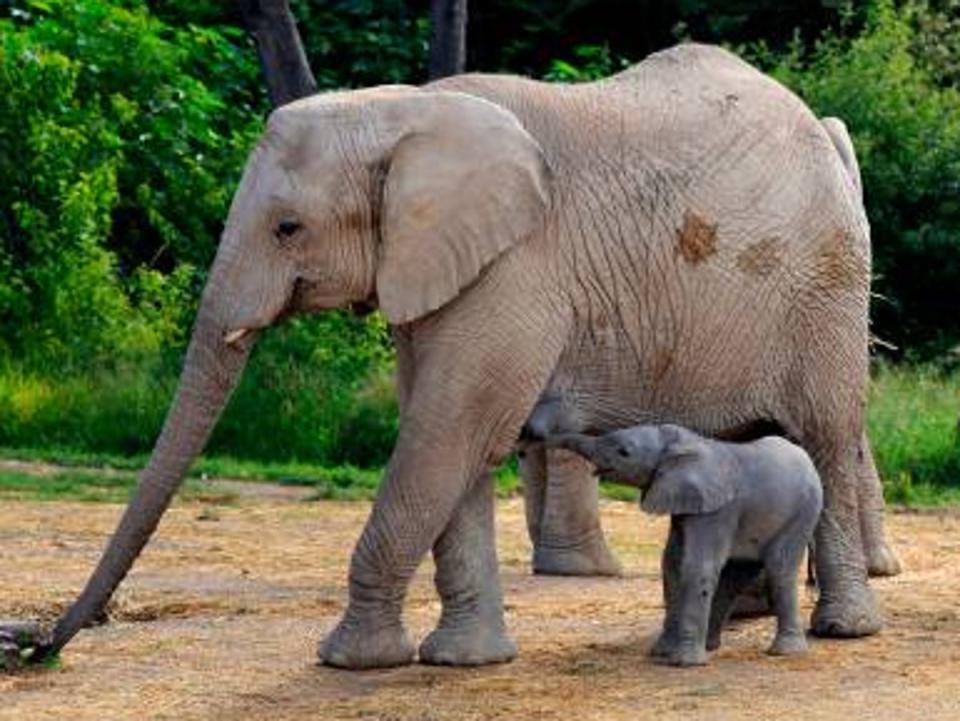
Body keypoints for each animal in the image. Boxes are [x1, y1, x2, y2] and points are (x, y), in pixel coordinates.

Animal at [552, 424, 820, 668]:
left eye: (624, 452)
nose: (545, 436)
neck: (680, 445)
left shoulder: (718, 509)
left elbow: (696, 566)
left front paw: (684, 662)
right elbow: (671, 565)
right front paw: (661, 653)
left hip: (802, 513)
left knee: (780, 569)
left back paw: (785, 652)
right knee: (734, 578)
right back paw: (711, 646)